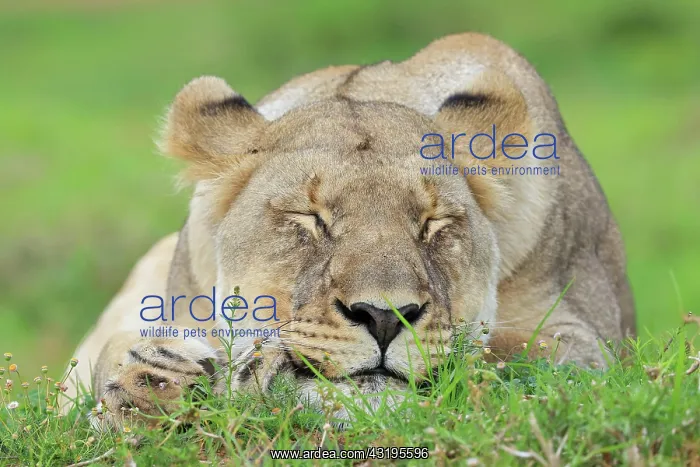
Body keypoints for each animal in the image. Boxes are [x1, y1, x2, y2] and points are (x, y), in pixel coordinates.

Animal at [62, 32, 635, 428]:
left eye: (432, 223)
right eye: (311, 218)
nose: (383, 317)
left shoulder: (582, 342)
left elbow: (498, 350)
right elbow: (120, 344)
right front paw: (151, 383)